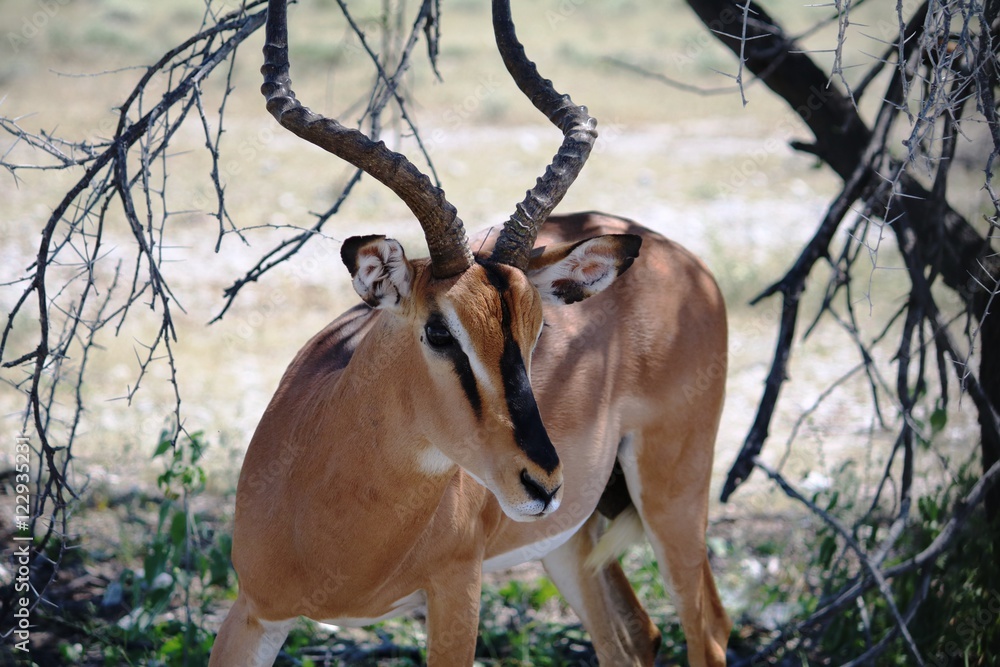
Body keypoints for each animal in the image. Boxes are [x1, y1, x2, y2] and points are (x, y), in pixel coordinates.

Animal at [209, 0, 731, 665]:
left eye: (538, 329)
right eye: (439, 332)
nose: (541, 481)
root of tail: (685, 260)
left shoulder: (458, 587)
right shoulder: (253, 613)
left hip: (673, 497)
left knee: (708, 630)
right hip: (569, 540)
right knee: (636, 634)